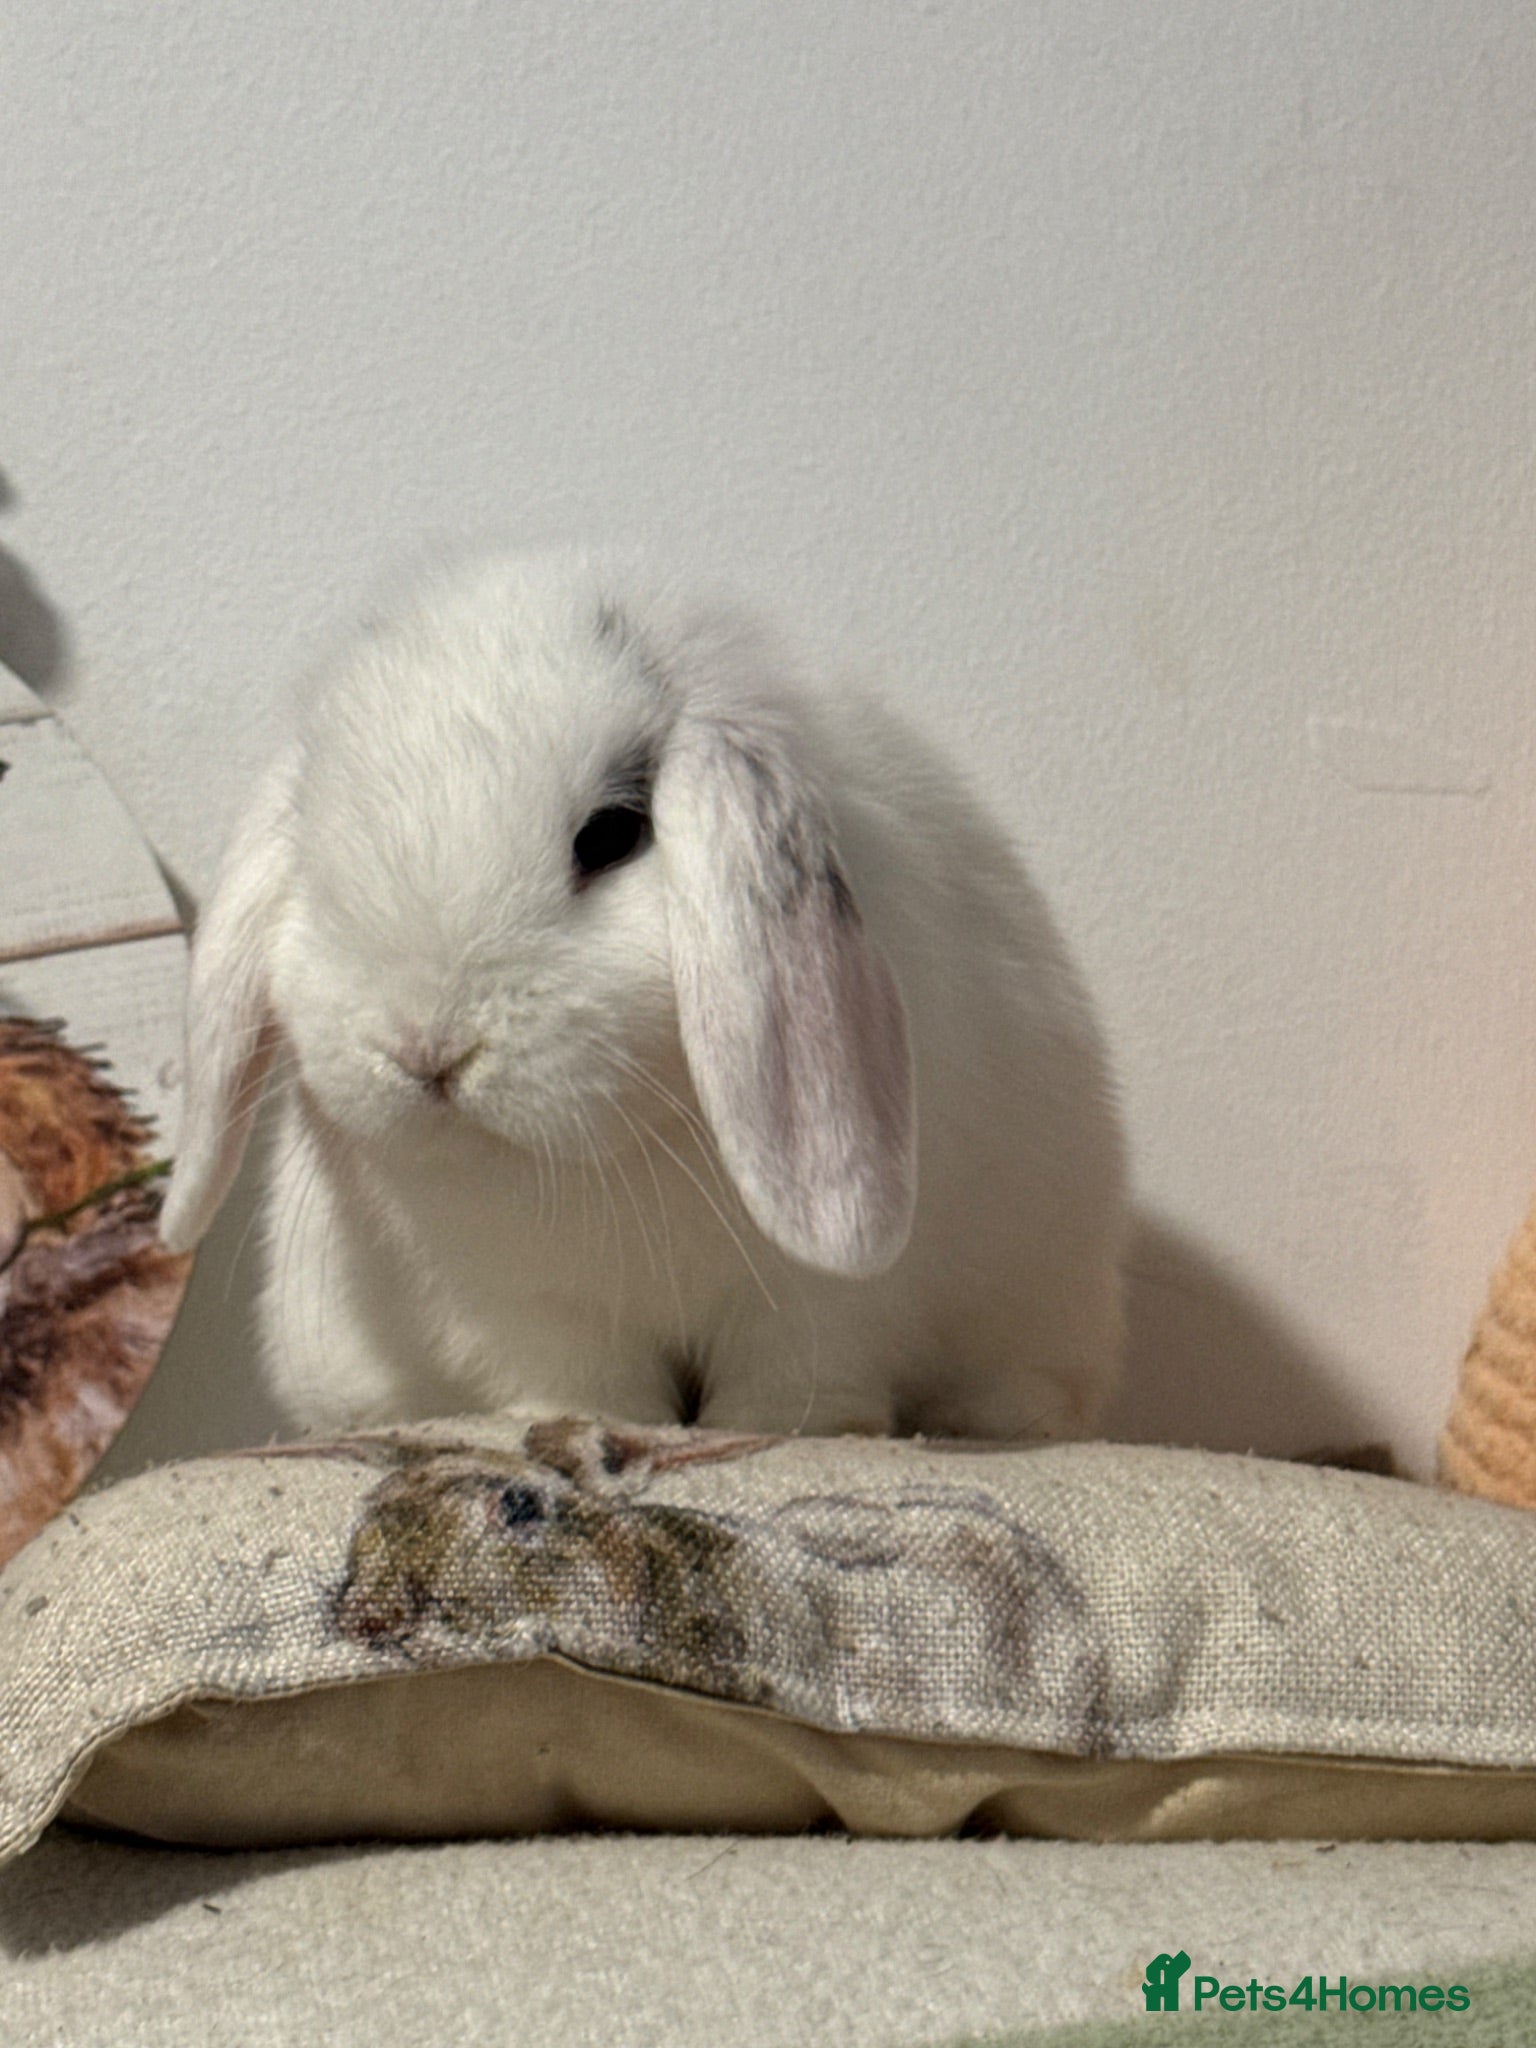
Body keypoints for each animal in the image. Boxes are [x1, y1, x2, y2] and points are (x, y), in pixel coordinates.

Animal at [160, 548, 1126, 1442]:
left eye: (612, 836)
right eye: (314, 860)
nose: (427, 1052)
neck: (619, 1157)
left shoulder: (820, 1300)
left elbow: (799, 1369)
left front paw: (781, 1433)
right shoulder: (526, 1302)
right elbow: (580, 1376)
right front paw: (587, 1424)